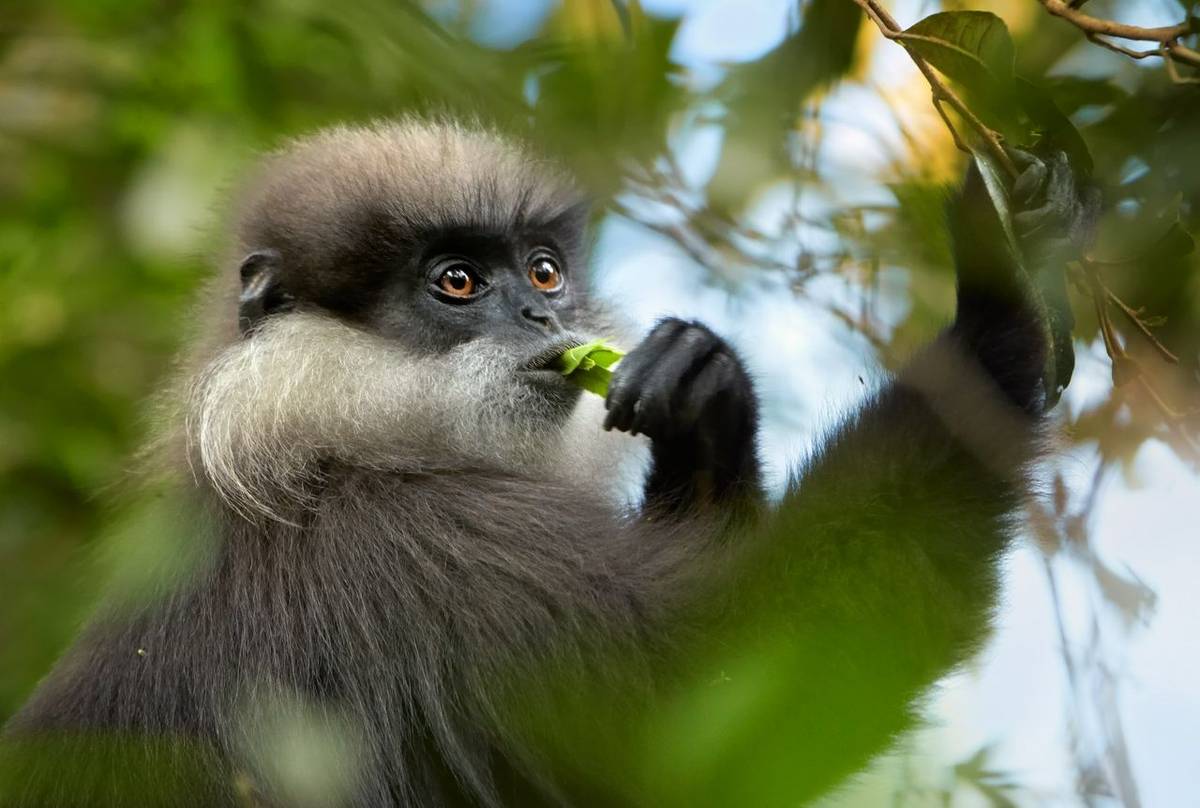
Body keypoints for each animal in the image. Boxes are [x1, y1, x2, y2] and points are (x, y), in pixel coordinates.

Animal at [0, 116, 1099, 801]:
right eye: (456, 282)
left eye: (541, 272)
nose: (542, 317)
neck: (319, 443)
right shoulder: (410, 551)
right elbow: (720, 706)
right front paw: (1004, 290)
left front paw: (703, 399)